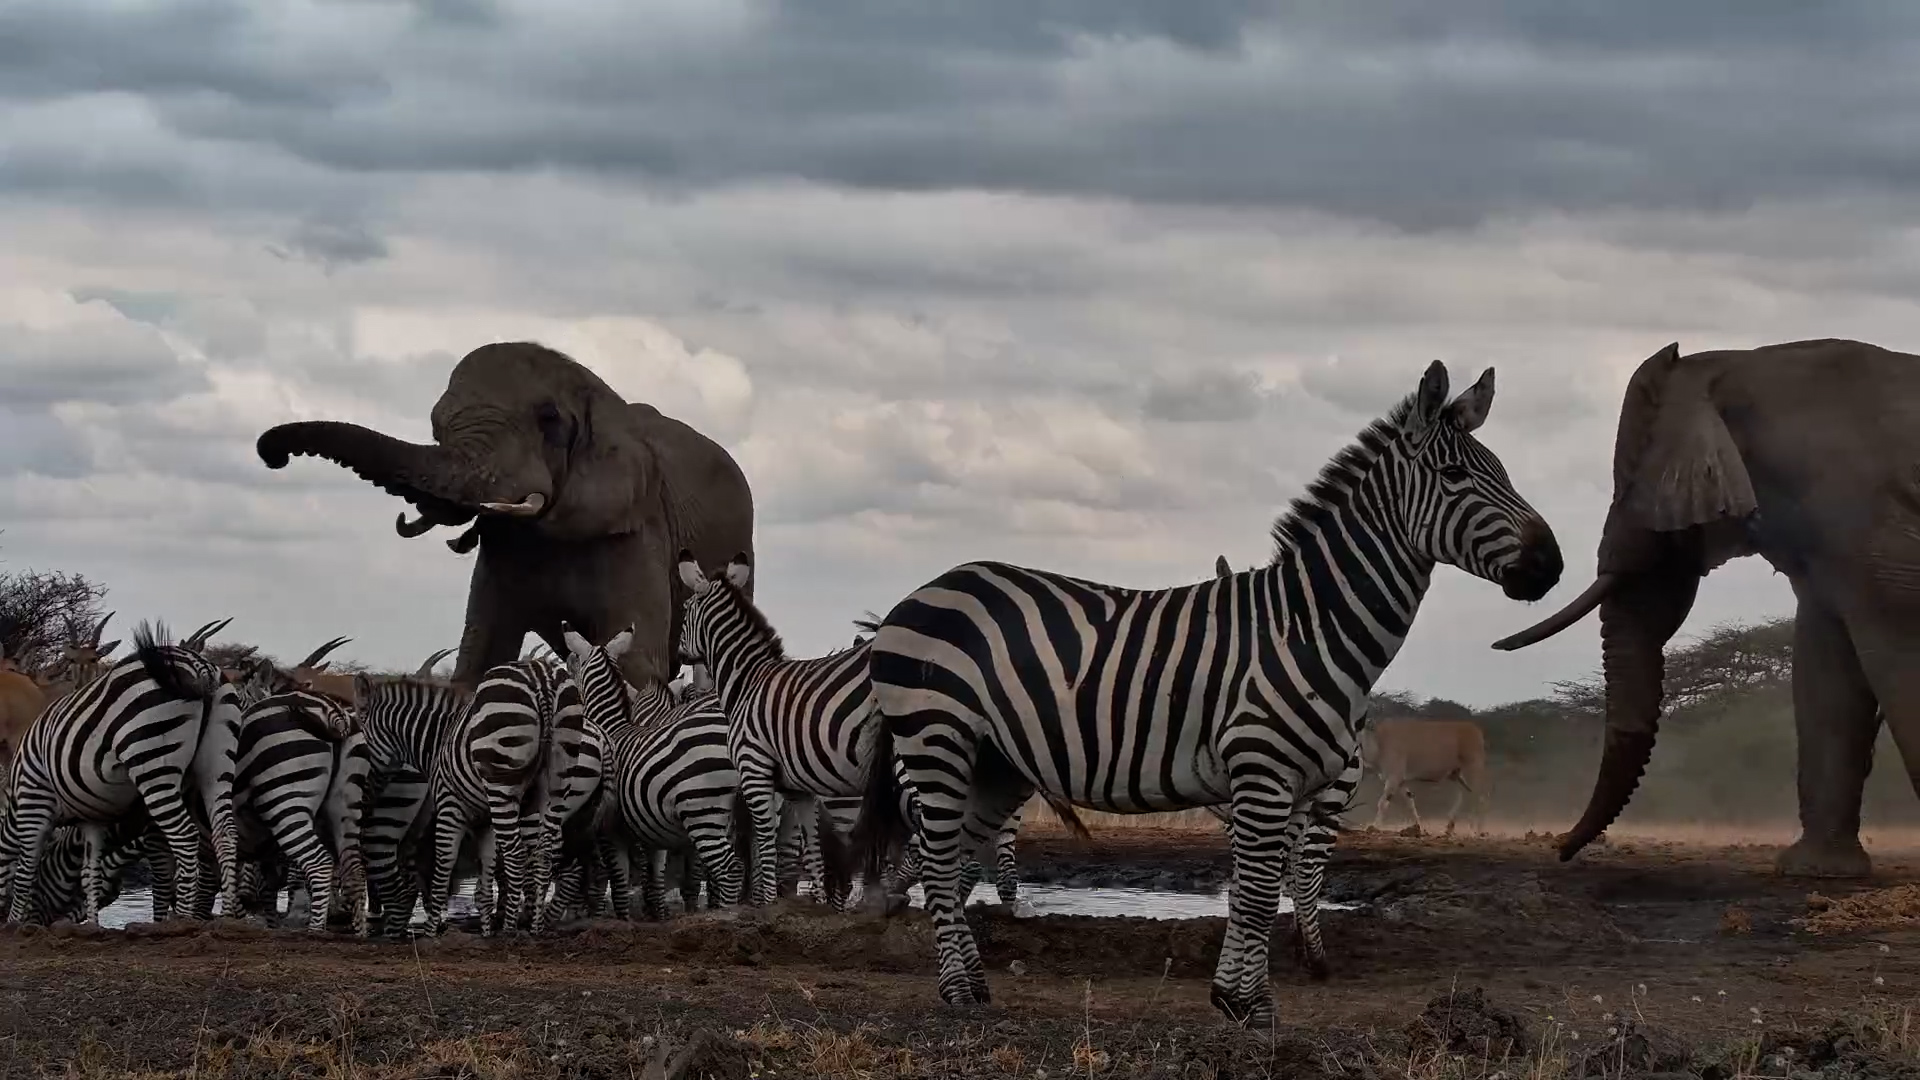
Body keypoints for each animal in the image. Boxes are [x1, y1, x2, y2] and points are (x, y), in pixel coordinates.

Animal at [256, 341, 755, 688]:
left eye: (549, 419)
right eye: (436, 424)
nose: (272, 455)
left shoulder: (639, 528)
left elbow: (633, 657)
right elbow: (483, 651)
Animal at [1494, 337, 1920, 879]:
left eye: (1633, 490)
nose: (1561, 850)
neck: (1736, 362)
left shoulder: (1870, 523)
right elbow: (1826, 666)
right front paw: (1816, 871)